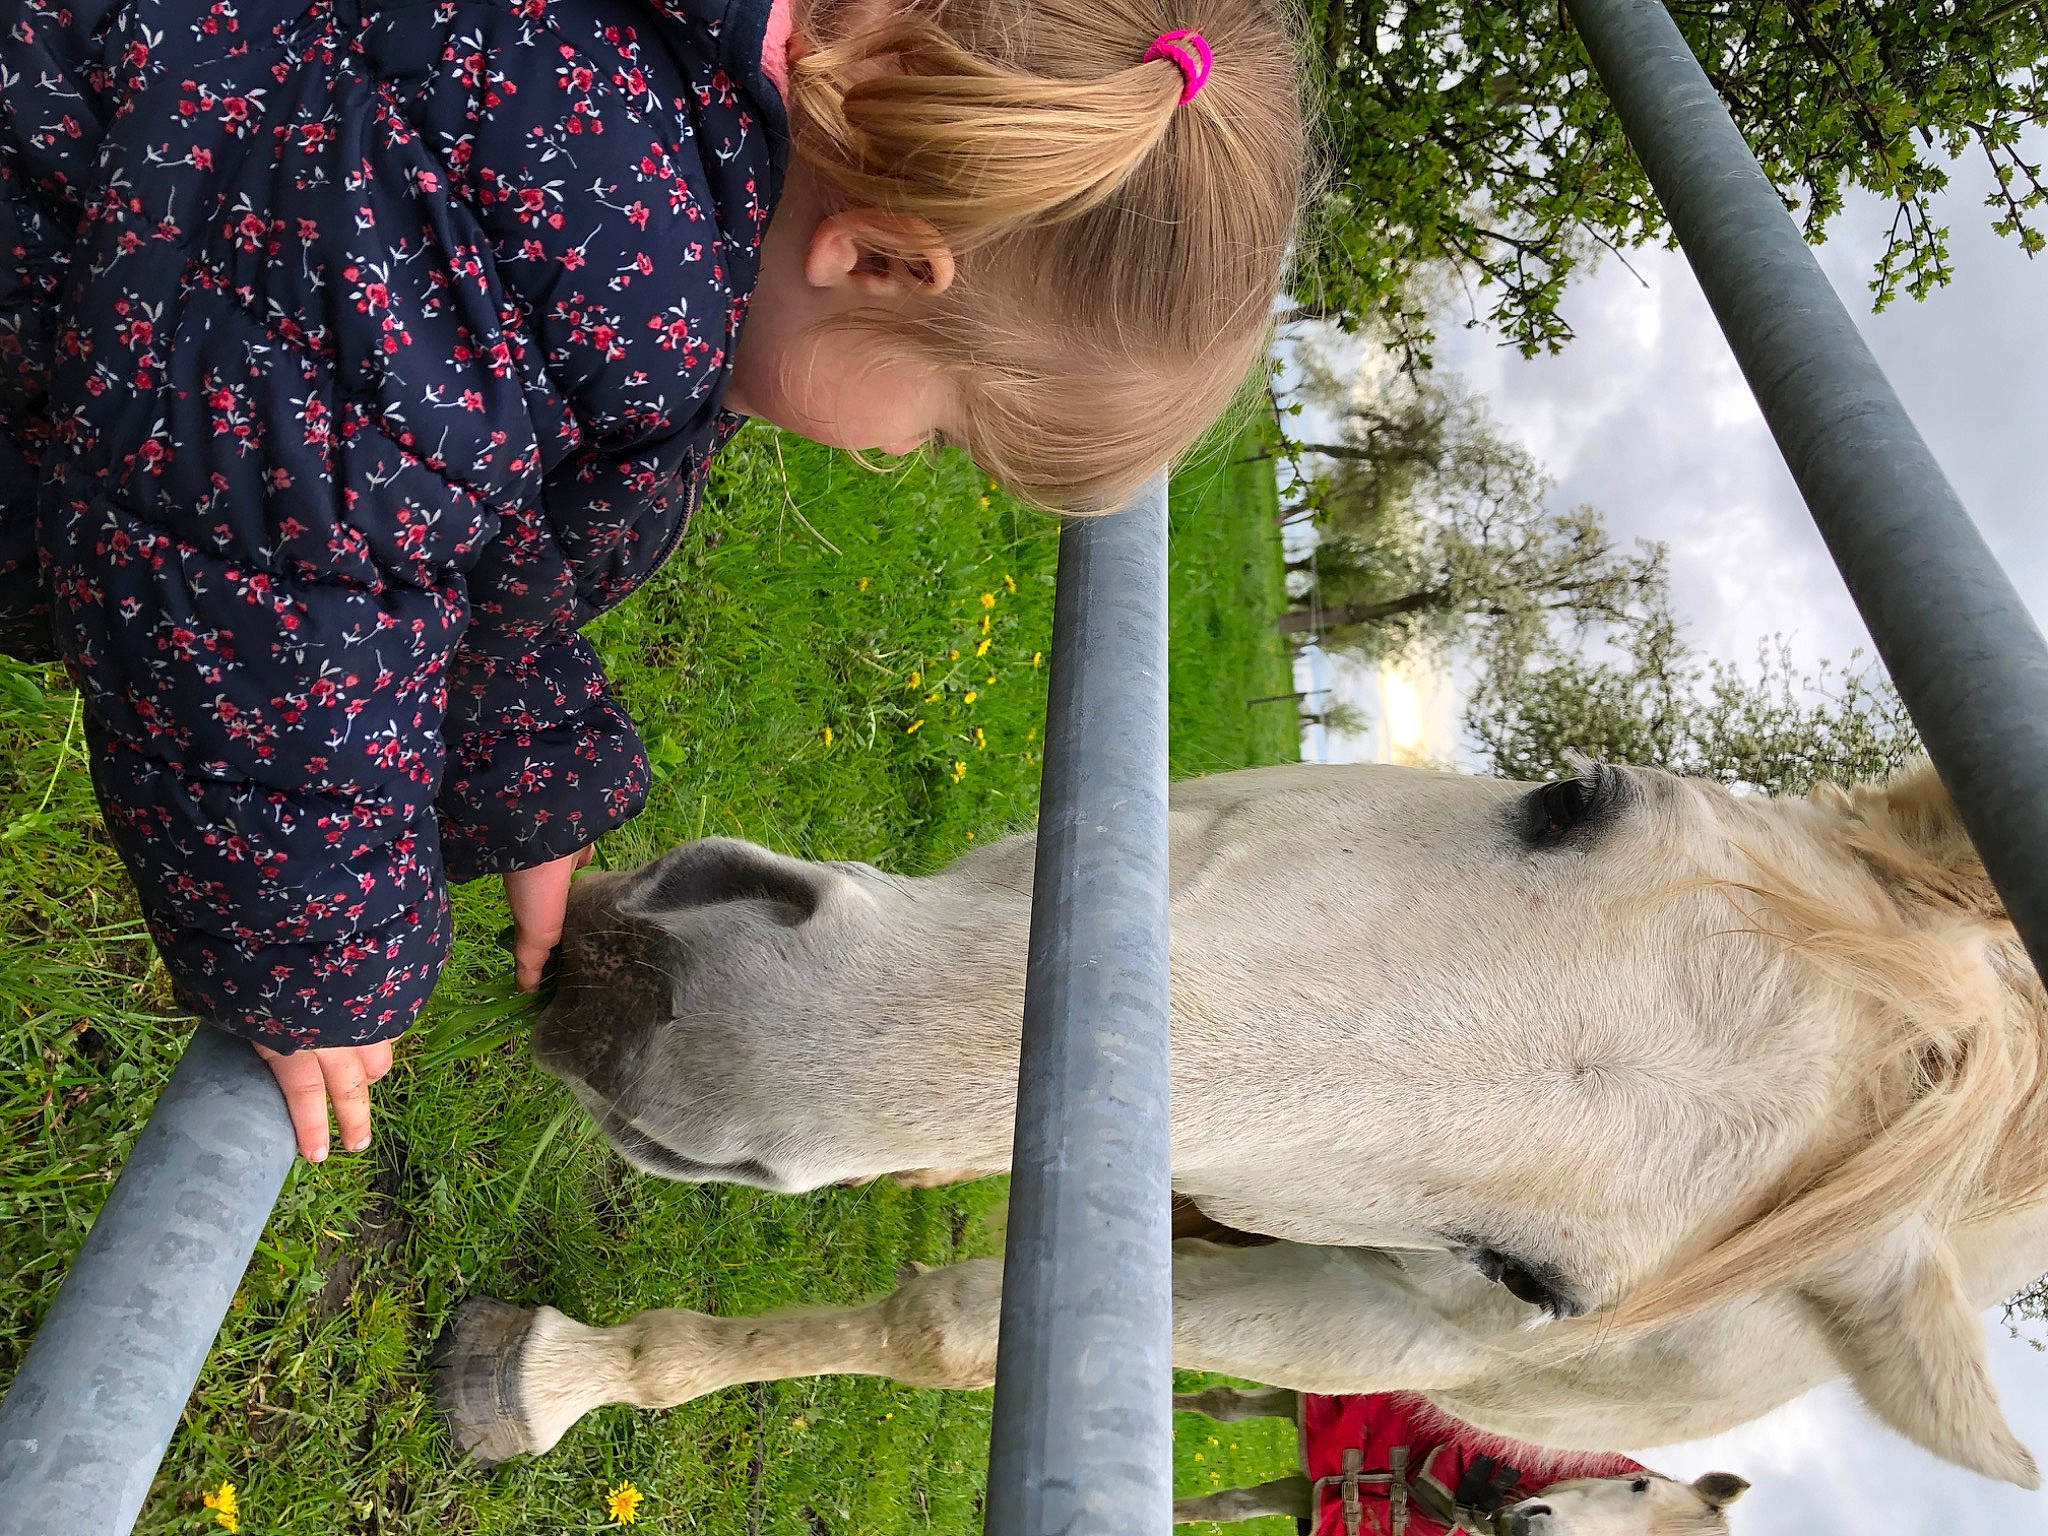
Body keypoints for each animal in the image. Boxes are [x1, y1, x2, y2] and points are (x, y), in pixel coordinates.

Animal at [432, 761, 2048, 1489]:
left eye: (1531, 1282)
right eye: (1570, 795)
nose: (664, 1007)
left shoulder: (1376, 1327)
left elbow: (952, 1333)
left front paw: (552, 1376)